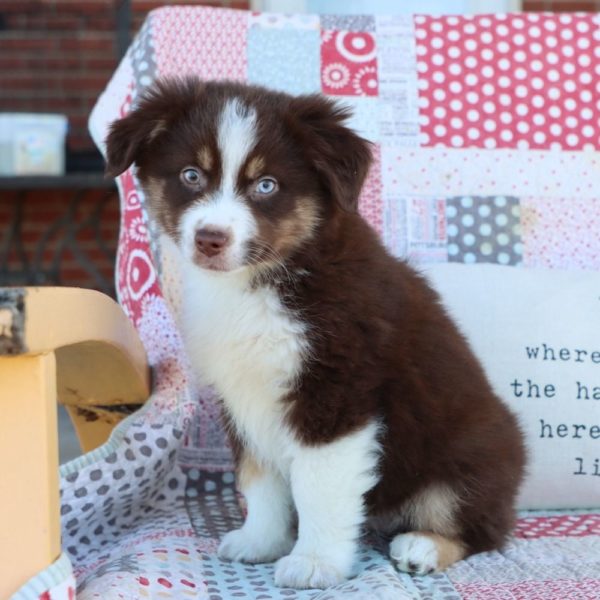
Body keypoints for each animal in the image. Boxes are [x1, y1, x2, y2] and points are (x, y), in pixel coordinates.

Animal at [106, 78, 524, 592]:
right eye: (190, 176)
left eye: (266, 185)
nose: (210, 239)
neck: (266, 278)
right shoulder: (242, 394)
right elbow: (258, 477)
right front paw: (261, 541)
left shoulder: (335, 392)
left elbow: (318, 488)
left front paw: (314, 562)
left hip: (467, 458)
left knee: (483, 527)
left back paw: (423, 546)